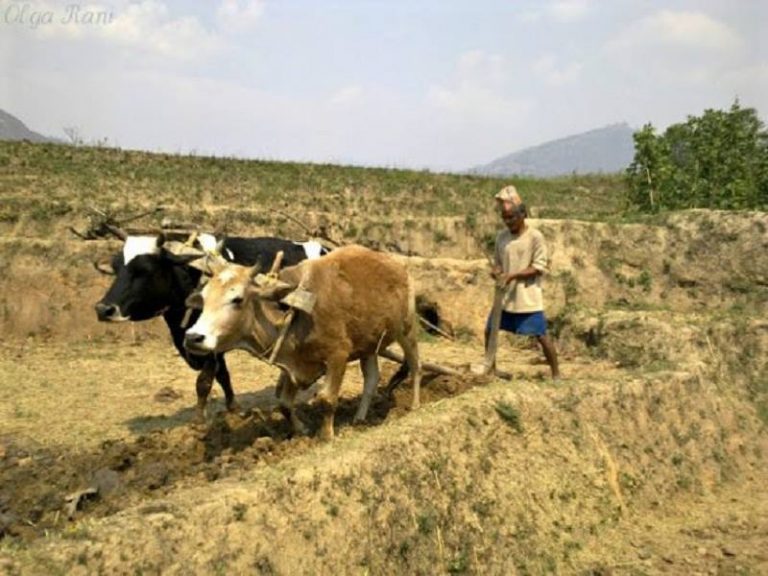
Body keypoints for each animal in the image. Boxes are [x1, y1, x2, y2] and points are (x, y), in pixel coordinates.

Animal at [94, 234, 326, 422]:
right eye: (115, 268)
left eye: (145, 270)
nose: (103, 309)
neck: (193, 276)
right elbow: (223, 375)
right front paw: (233, 408)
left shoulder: (208, 344)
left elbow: (204, 381)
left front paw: (199, 421)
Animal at [183, 244, 421, 440]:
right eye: (203, 297)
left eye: (237, 299)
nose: (193, 337)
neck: (292, 312)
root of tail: (397, 266)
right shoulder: (292, 365)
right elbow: (284, 404)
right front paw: (301, 430)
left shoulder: (338, 355)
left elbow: (327, 399)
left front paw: (326, 436)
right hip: (369, 344)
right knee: (372, 379)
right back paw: (360, 418)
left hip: (407, 329)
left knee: (415, 366)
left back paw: (415, 404)